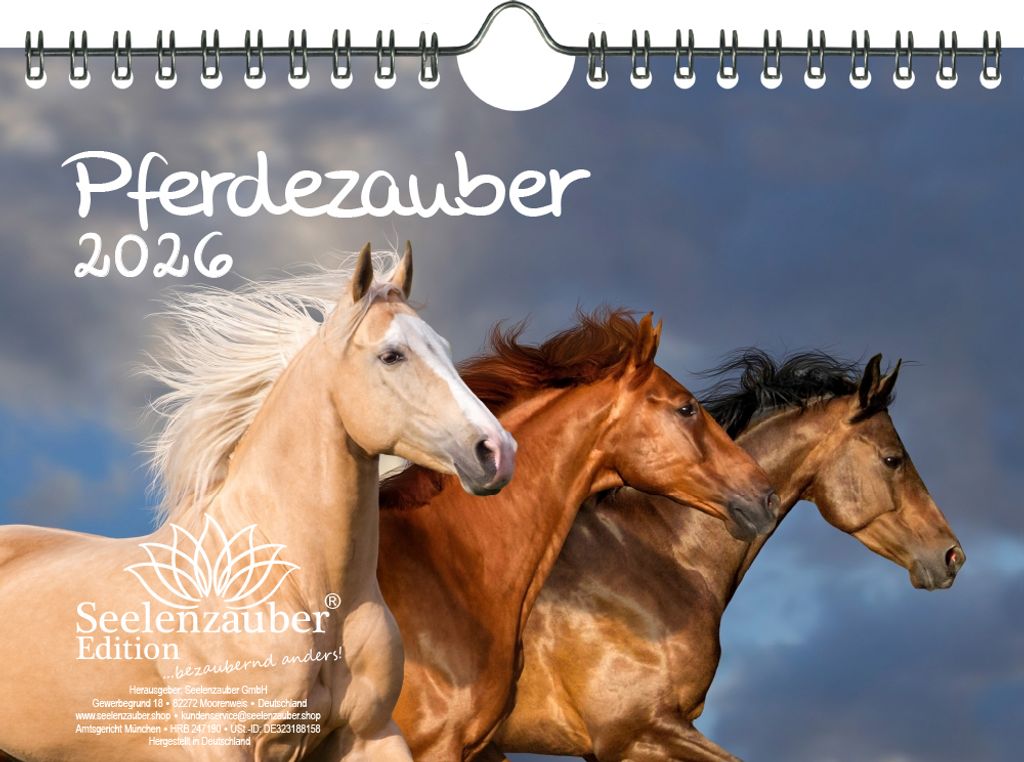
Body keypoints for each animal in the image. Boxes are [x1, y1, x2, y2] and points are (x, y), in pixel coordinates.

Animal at [0, 243, 516, 762]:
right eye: (392, 355)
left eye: (444, 348)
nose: (496, 452)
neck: (302, 593)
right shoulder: (221, 740)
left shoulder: (372, 733)